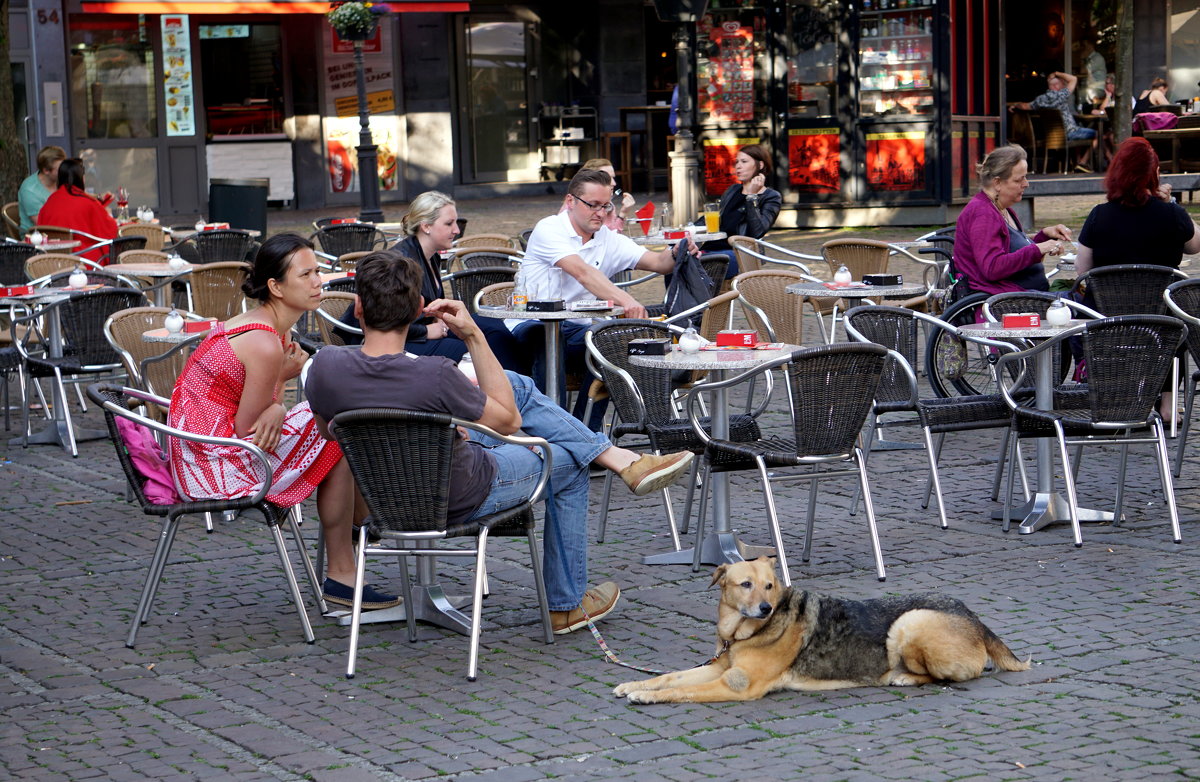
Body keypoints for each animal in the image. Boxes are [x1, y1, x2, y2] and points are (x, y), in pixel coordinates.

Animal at [614, 556, 1027, 700]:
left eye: (770, 585)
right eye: (745, 584)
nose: (765, 608)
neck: (743, 633)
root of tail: (977, 619)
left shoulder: (737, 685)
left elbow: (681, 691)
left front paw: (648, 697)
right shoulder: (721, 668)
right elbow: (669, 677)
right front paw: (635, 685)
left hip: (911, 621)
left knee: (953, 676)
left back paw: (904, 677)